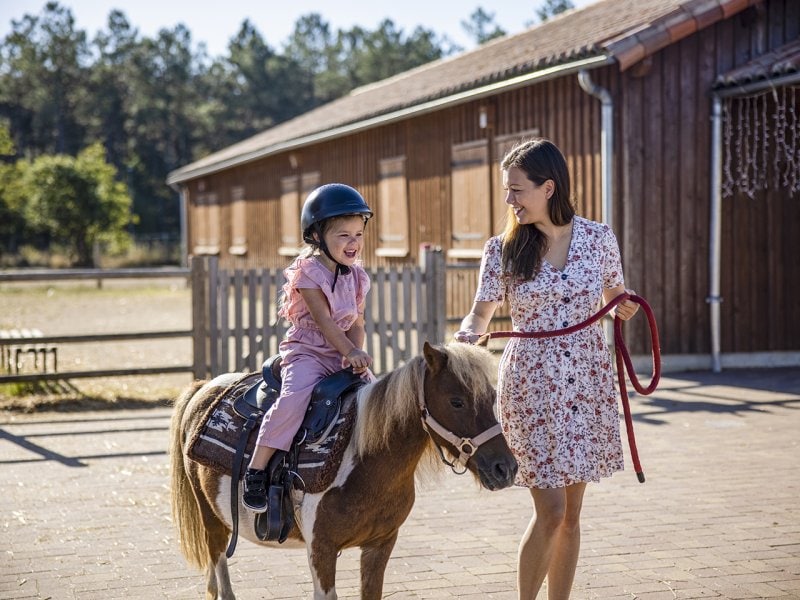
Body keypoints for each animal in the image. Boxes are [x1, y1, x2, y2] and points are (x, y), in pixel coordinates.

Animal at [170, 342, 520, 600]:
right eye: (456, 401)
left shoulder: (380, 546)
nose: (505, 468)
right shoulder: (321, 552)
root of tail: (204, 387)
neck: (365, 462)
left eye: (492, 396)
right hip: (211, 519)